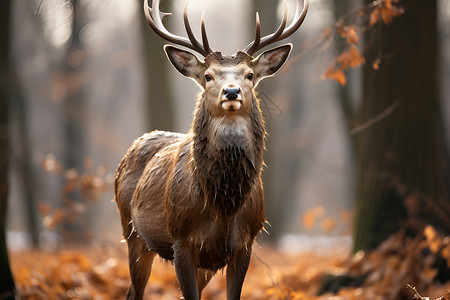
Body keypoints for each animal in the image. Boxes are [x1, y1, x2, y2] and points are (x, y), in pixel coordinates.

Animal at [114, 0, 308, 298]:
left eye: (250, 74)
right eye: (208, 75)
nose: (231, 91)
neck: (224, 206)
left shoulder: (245, 243)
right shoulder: (181, 240)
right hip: (132, 232)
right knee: (134, 291)